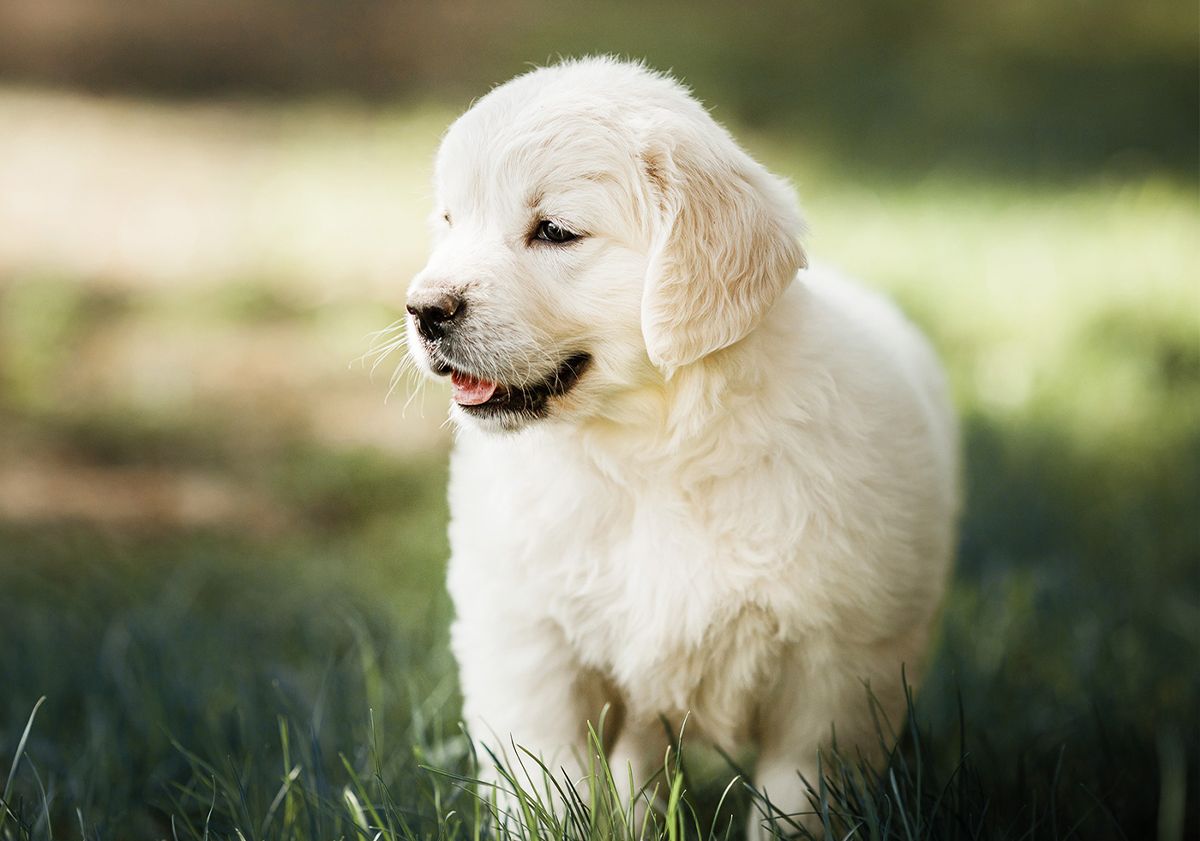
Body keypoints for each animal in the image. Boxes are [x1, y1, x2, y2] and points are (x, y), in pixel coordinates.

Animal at [403, 57, 955, 835]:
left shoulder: (836, 675)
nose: (423, 310)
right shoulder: (527, 641)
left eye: (556, 231)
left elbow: (795, 799)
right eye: (450, 221)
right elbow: (544, 783)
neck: (650, 452)